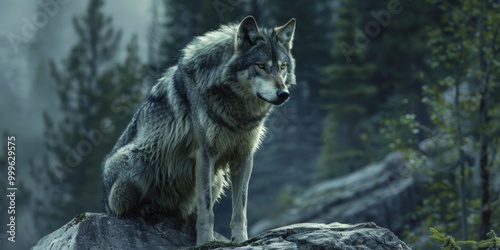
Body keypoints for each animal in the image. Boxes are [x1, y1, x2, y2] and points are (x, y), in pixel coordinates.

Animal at [102, 15, 296, 244]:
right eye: (261, 65)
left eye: (282, 67)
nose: (283, 94)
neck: (237, 110)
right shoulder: (205, 154)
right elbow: (207, 209)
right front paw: (205, 241)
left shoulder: (244, 157)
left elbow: (240, 209)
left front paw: (241, 240)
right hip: (138, 158)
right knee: (123, 211)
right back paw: (148, 209)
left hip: (217, 180)